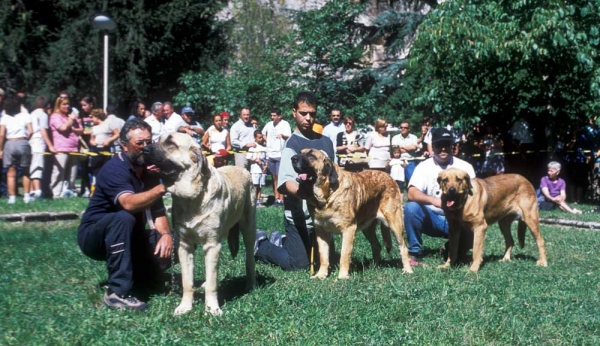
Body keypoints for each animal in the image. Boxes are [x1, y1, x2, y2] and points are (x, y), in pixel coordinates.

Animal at [148, 133, 258, 316]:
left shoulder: (212, 245)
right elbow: (187, 282)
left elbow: (212, 284)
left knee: (249, 259)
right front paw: (185, 306)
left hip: (248, 230)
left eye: (171, 143)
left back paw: (251, 285)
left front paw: (212, 309)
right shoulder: (184, 246)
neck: (192, 197)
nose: (144, 149)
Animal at [290, 148, 412, 278]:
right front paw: (321, 275)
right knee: (377, 245)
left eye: (311, 155)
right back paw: (374, 266)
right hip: (367, 229)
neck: (326, 196)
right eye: (300, 152)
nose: (293, 158)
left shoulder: (348, 229)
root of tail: (389, 176)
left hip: (395, 223)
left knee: (403, 247)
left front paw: (342, 277)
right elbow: (323, 256)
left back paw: (408, 270)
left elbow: (344, 255)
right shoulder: (321, 232)